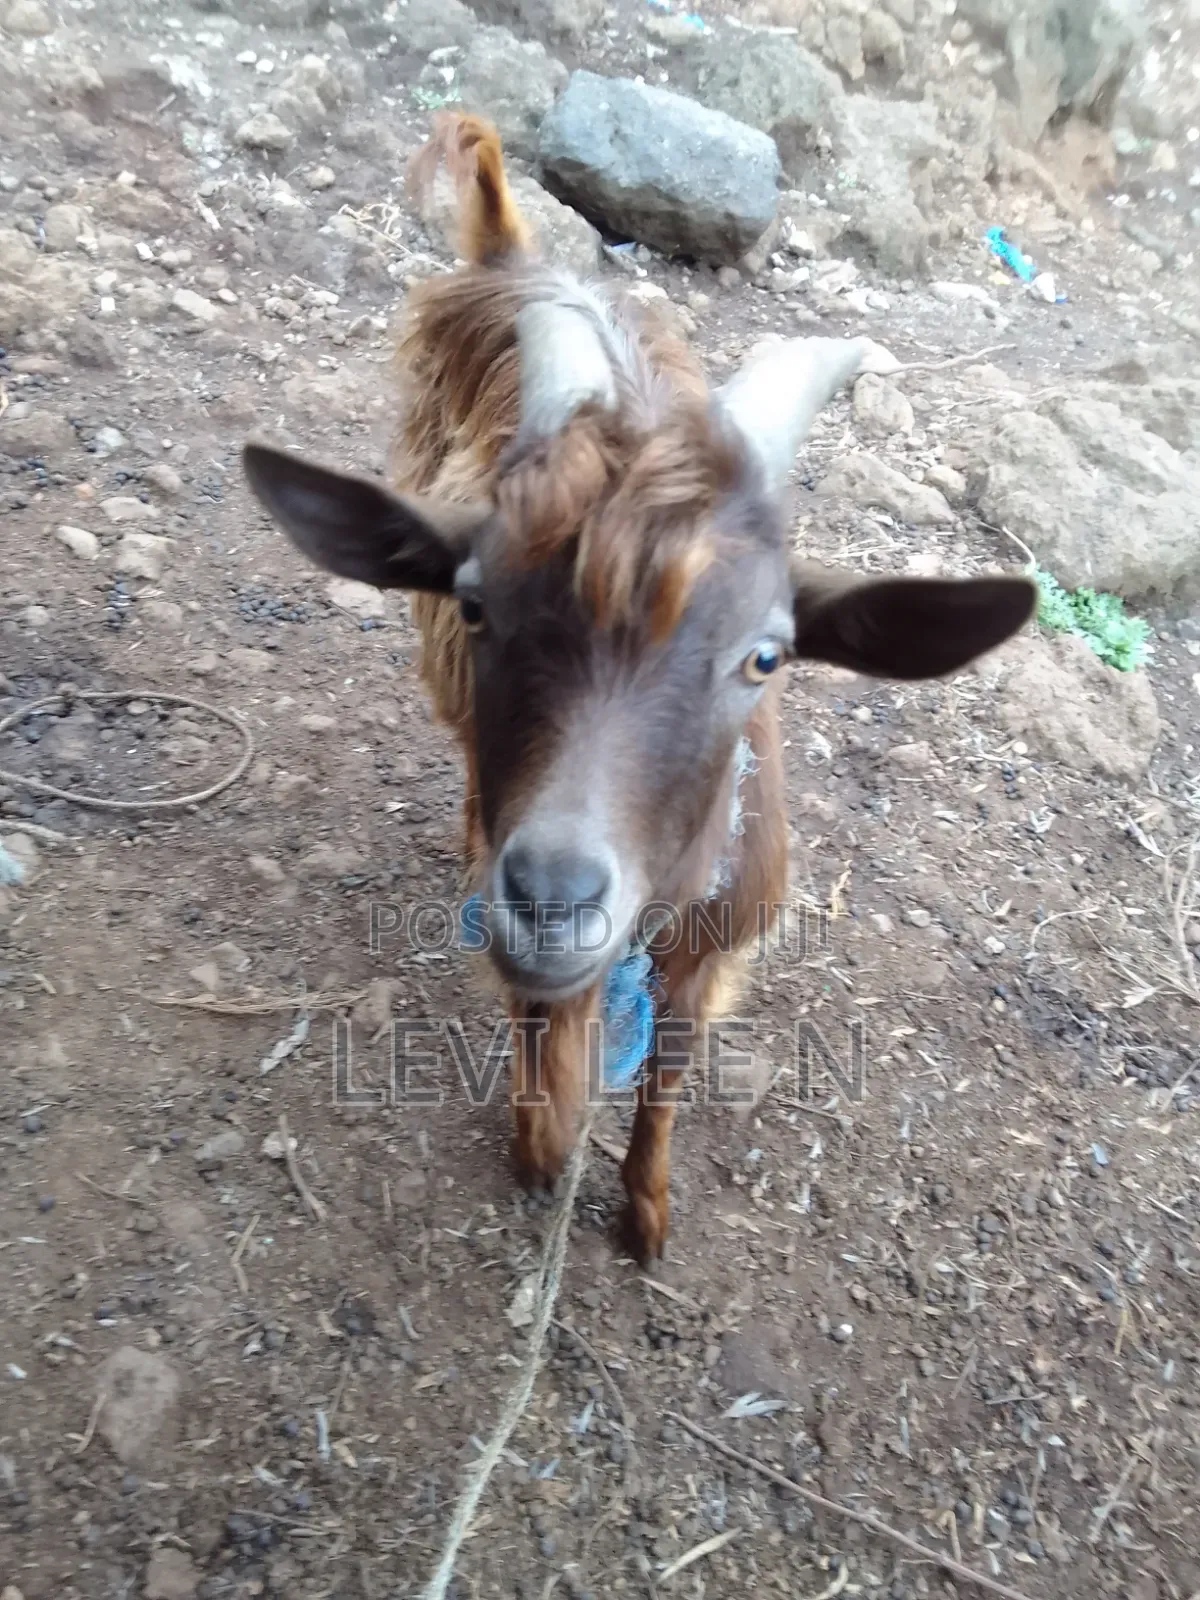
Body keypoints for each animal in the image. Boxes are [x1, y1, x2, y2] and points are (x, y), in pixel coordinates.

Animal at [242, 113, 1036, 1264]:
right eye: (475, 601)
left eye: (766, 655)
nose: (553, 900)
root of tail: (508, 254)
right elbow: (548, 1045)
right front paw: (540, 1151)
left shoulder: (708, 946)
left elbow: (665, 1075)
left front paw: (646, 1210)